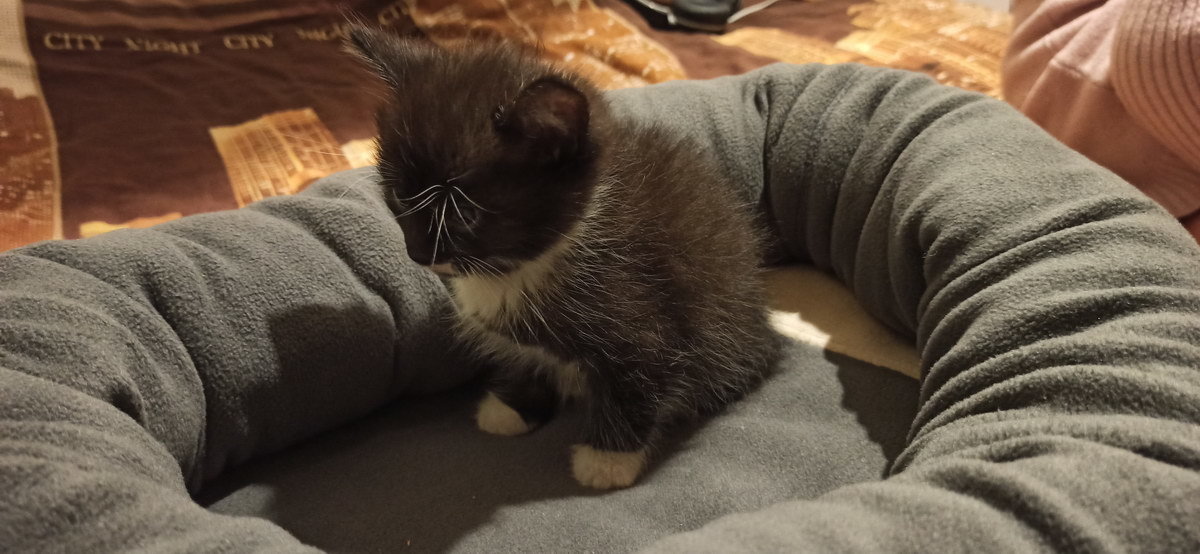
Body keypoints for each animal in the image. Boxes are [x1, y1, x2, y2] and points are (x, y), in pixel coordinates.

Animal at [348, 27, 779, 489]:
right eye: (398, 196)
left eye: (463, 215)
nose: (417, 253)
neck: (518, 268)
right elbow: (522, 356)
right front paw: (513, 407)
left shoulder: (640, 314)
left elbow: (638, 377)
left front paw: (606, 461)